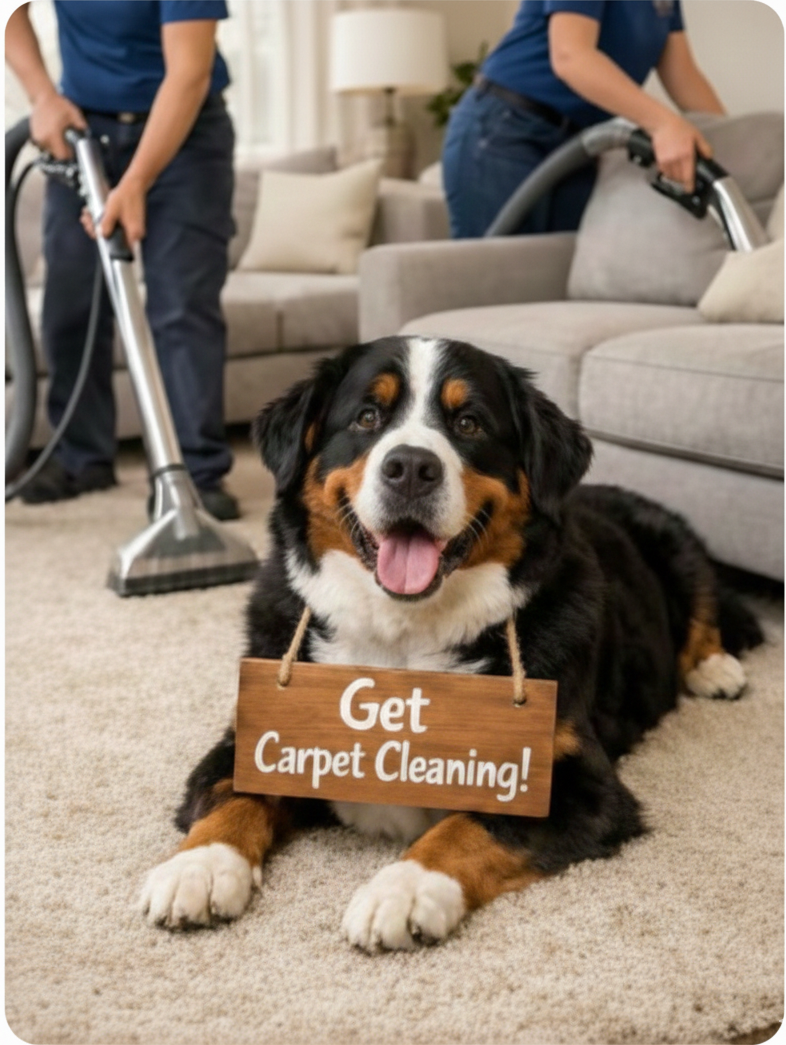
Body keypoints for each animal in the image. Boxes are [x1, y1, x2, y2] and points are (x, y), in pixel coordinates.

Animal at [141, 335, 762, 950]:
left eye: (469, 424)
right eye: (367, 417)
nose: (412, 467)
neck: (402, 636)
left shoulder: (576, 783)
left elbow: (471, 826)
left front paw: (405, 889)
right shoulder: (259, 728)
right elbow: (229, 791)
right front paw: (198, 867)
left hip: (676, 540)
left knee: (707, 606)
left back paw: (716, 670)